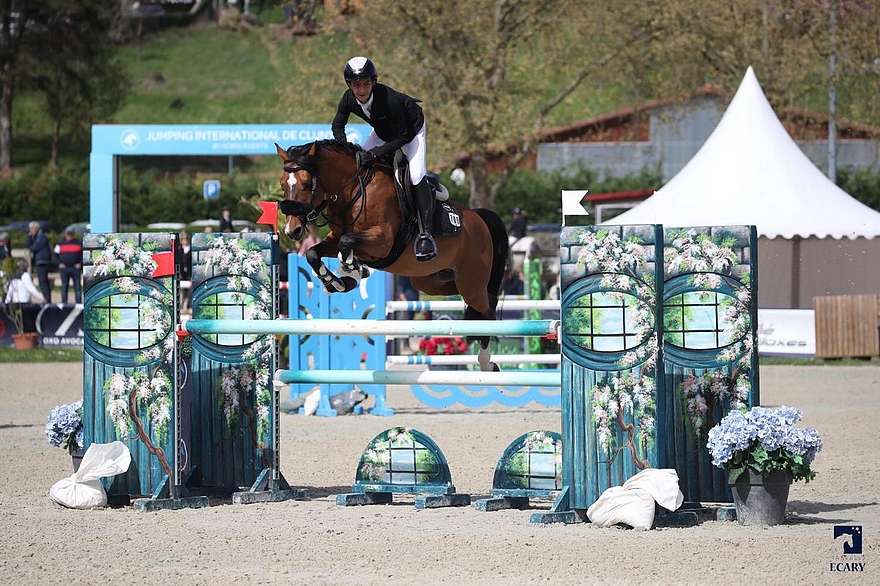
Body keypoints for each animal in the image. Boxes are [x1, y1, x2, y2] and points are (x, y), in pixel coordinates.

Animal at [275, 140, 509, 372]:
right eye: (282, 184)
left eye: (307, 183)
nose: (292, 230)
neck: (353, 190)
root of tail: (478, 217)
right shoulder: (334, 240)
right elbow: (314, 253)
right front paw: (338, 282)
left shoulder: (382, 241)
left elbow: (347, 242)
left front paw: (352, 270)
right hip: (429, 282)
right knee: (463, 295)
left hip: (471, 284)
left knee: (487, 307)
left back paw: (487, 363)